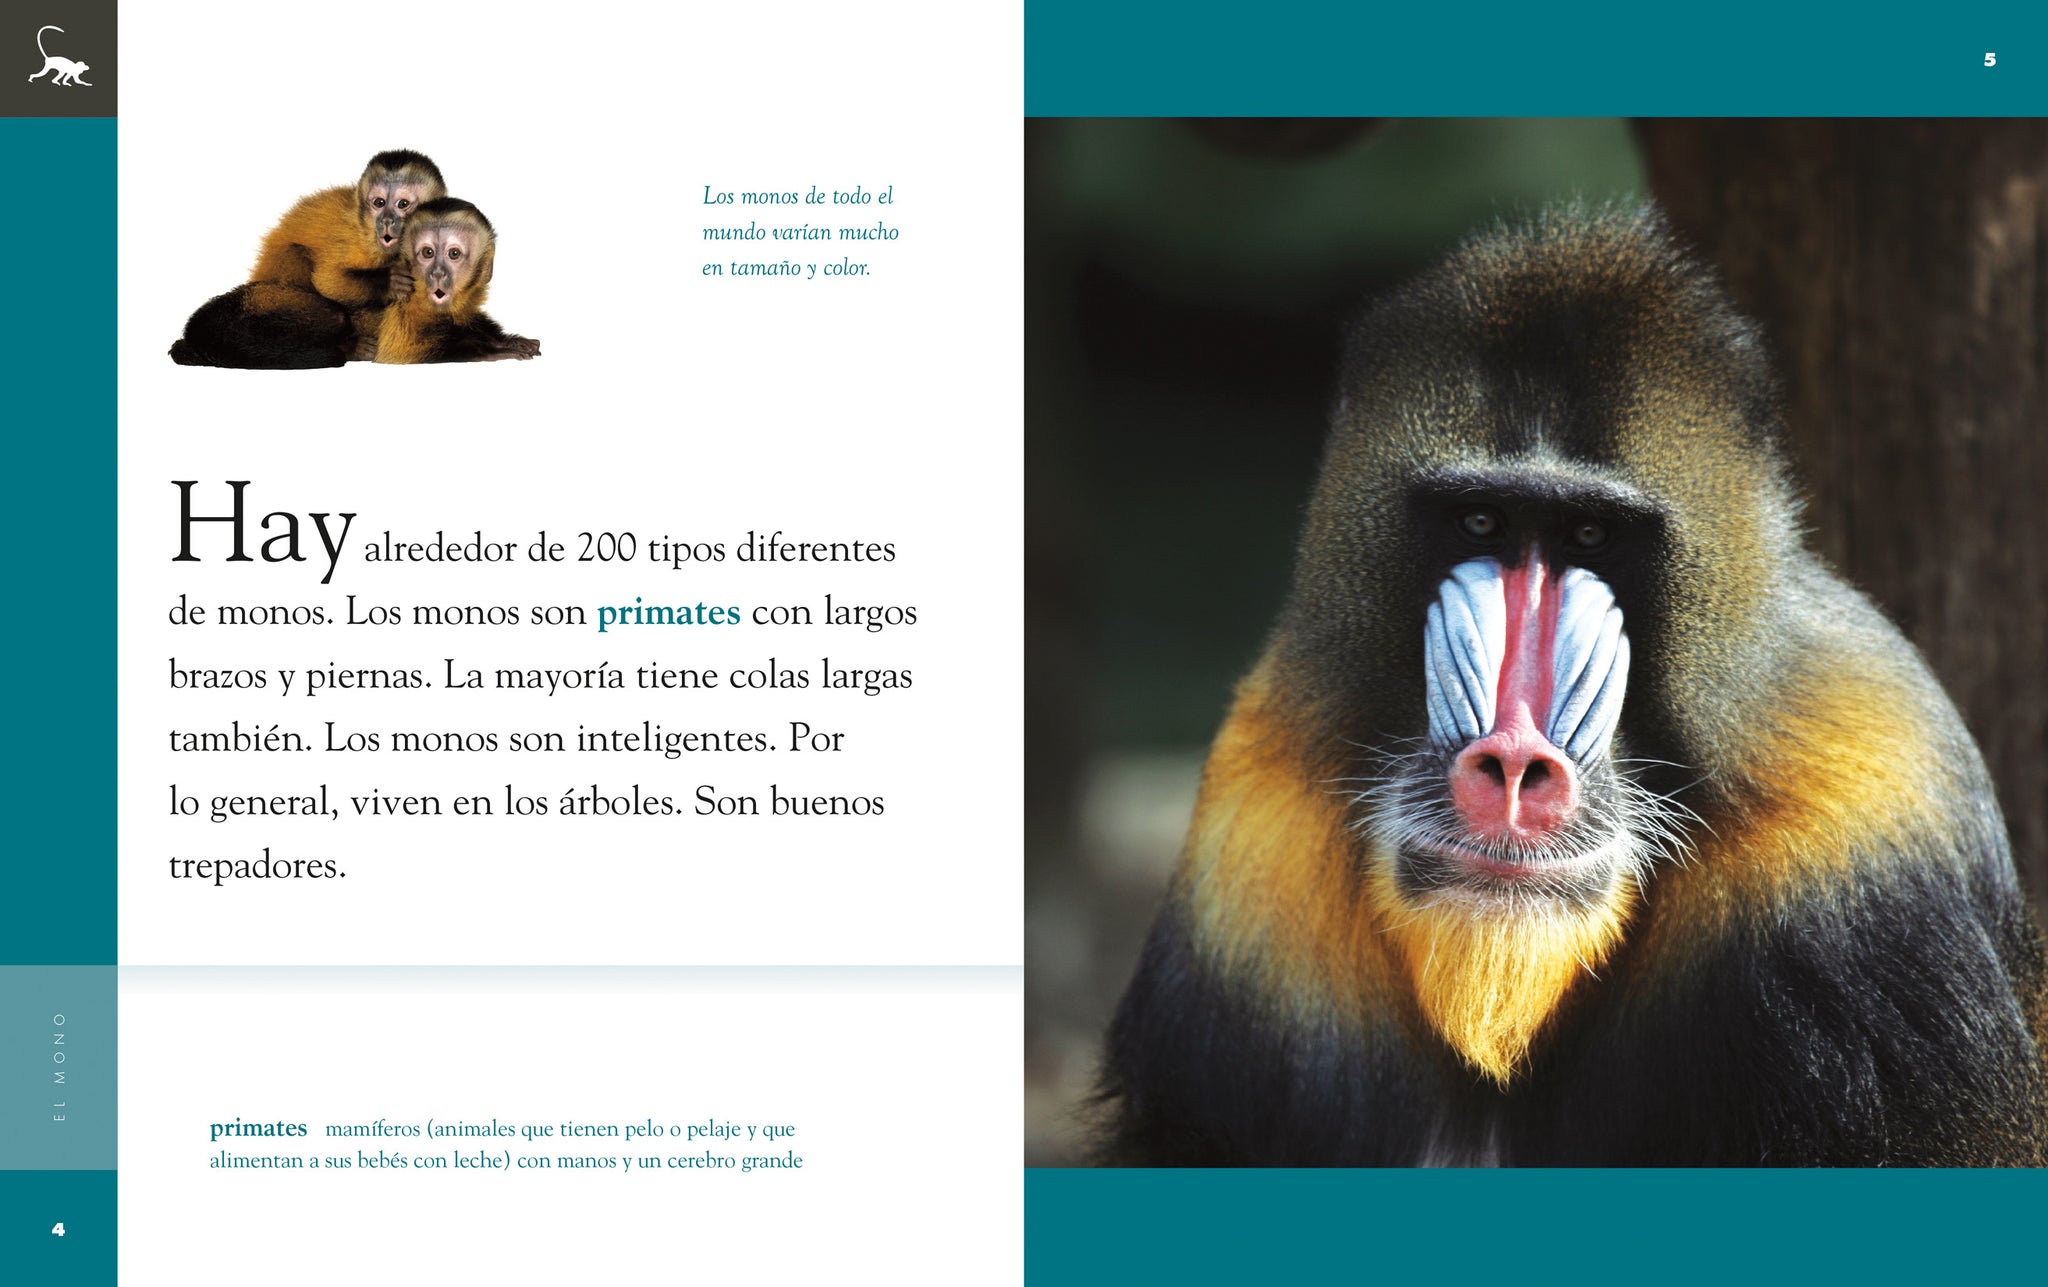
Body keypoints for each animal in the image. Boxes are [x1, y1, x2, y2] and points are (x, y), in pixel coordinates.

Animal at [169, 150, 446, 369]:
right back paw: (348, 348)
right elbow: (329, 280)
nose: (386, 220)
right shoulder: (353, 235)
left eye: (402, 204)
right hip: (266, 298)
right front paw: (389, 283)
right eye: (379, 202)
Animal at [366, 198, 540, 364]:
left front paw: (504, 340)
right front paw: (490, 349)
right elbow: (398, 352)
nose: (437, 273)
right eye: (428, 252)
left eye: (454, 253)